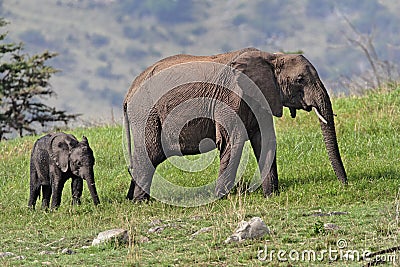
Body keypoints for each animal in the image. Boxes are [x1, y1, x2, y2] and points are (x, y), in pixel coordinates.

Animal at [122, 47, 346, 203]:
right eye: (300, 79)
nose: (345, 184)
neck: (271, 57)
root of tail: (129, 92)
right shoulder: (230, 99)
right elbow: (233, 141)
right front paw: (221, 197)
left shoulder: (261, 99)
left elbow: (266, 141)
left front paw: (271, 194)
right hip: (146, 114)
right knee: (149, 153)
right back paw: (141, 202)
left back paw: (132, 198)